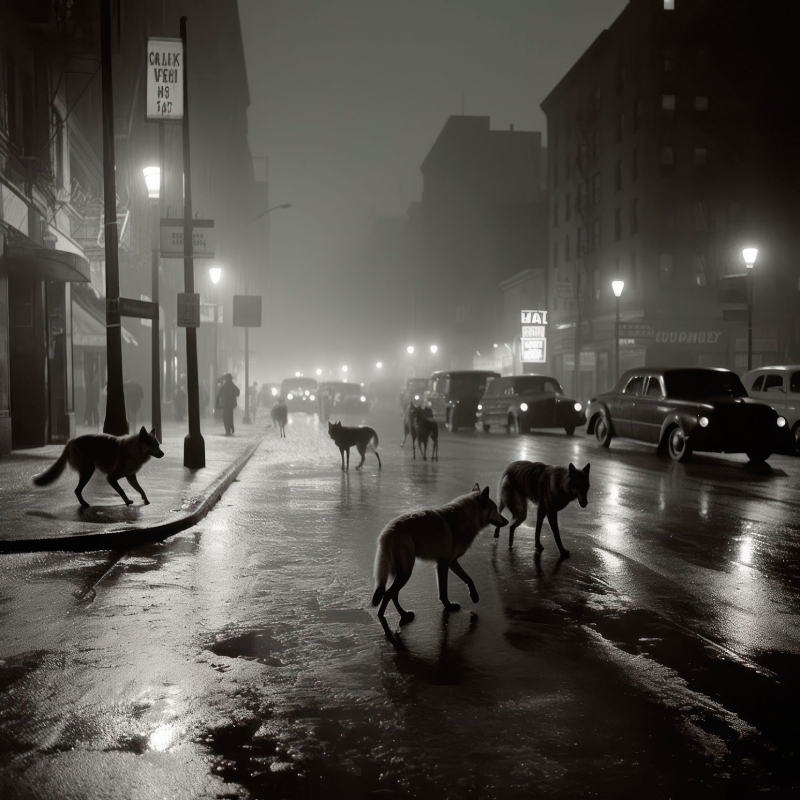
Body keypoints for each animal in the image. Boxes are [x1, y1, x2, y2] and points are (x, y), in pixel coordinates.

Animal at [32, 428, 166, 510]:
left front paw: (146, 500)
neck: (134, 450)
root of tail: (71, 441)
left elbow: (141, 489)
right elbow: (122, 491)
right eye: (155, 445)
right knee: (77, 490)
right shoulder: (111, 478)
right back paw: (84, 504)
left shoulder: (131, 477)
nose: (163, 454)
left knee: (77, 490)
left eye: (158, 445)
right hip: (88, 471)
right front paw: (127, 502)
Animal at [374, 482, 506, 624]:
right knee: (388, 594)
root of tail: (389, 530)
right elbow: (443, 590)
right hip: (406, 573)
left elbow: (468, 579)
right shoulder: (443, 564)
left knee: (393, 595)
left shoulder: (451, 562)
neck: (469, 515)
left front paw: (474, 596)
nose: (507, 521)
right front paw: (448, 606)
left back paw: (403, 615)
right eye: (496, 509)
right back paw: (383, 617)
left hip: (402, 573)